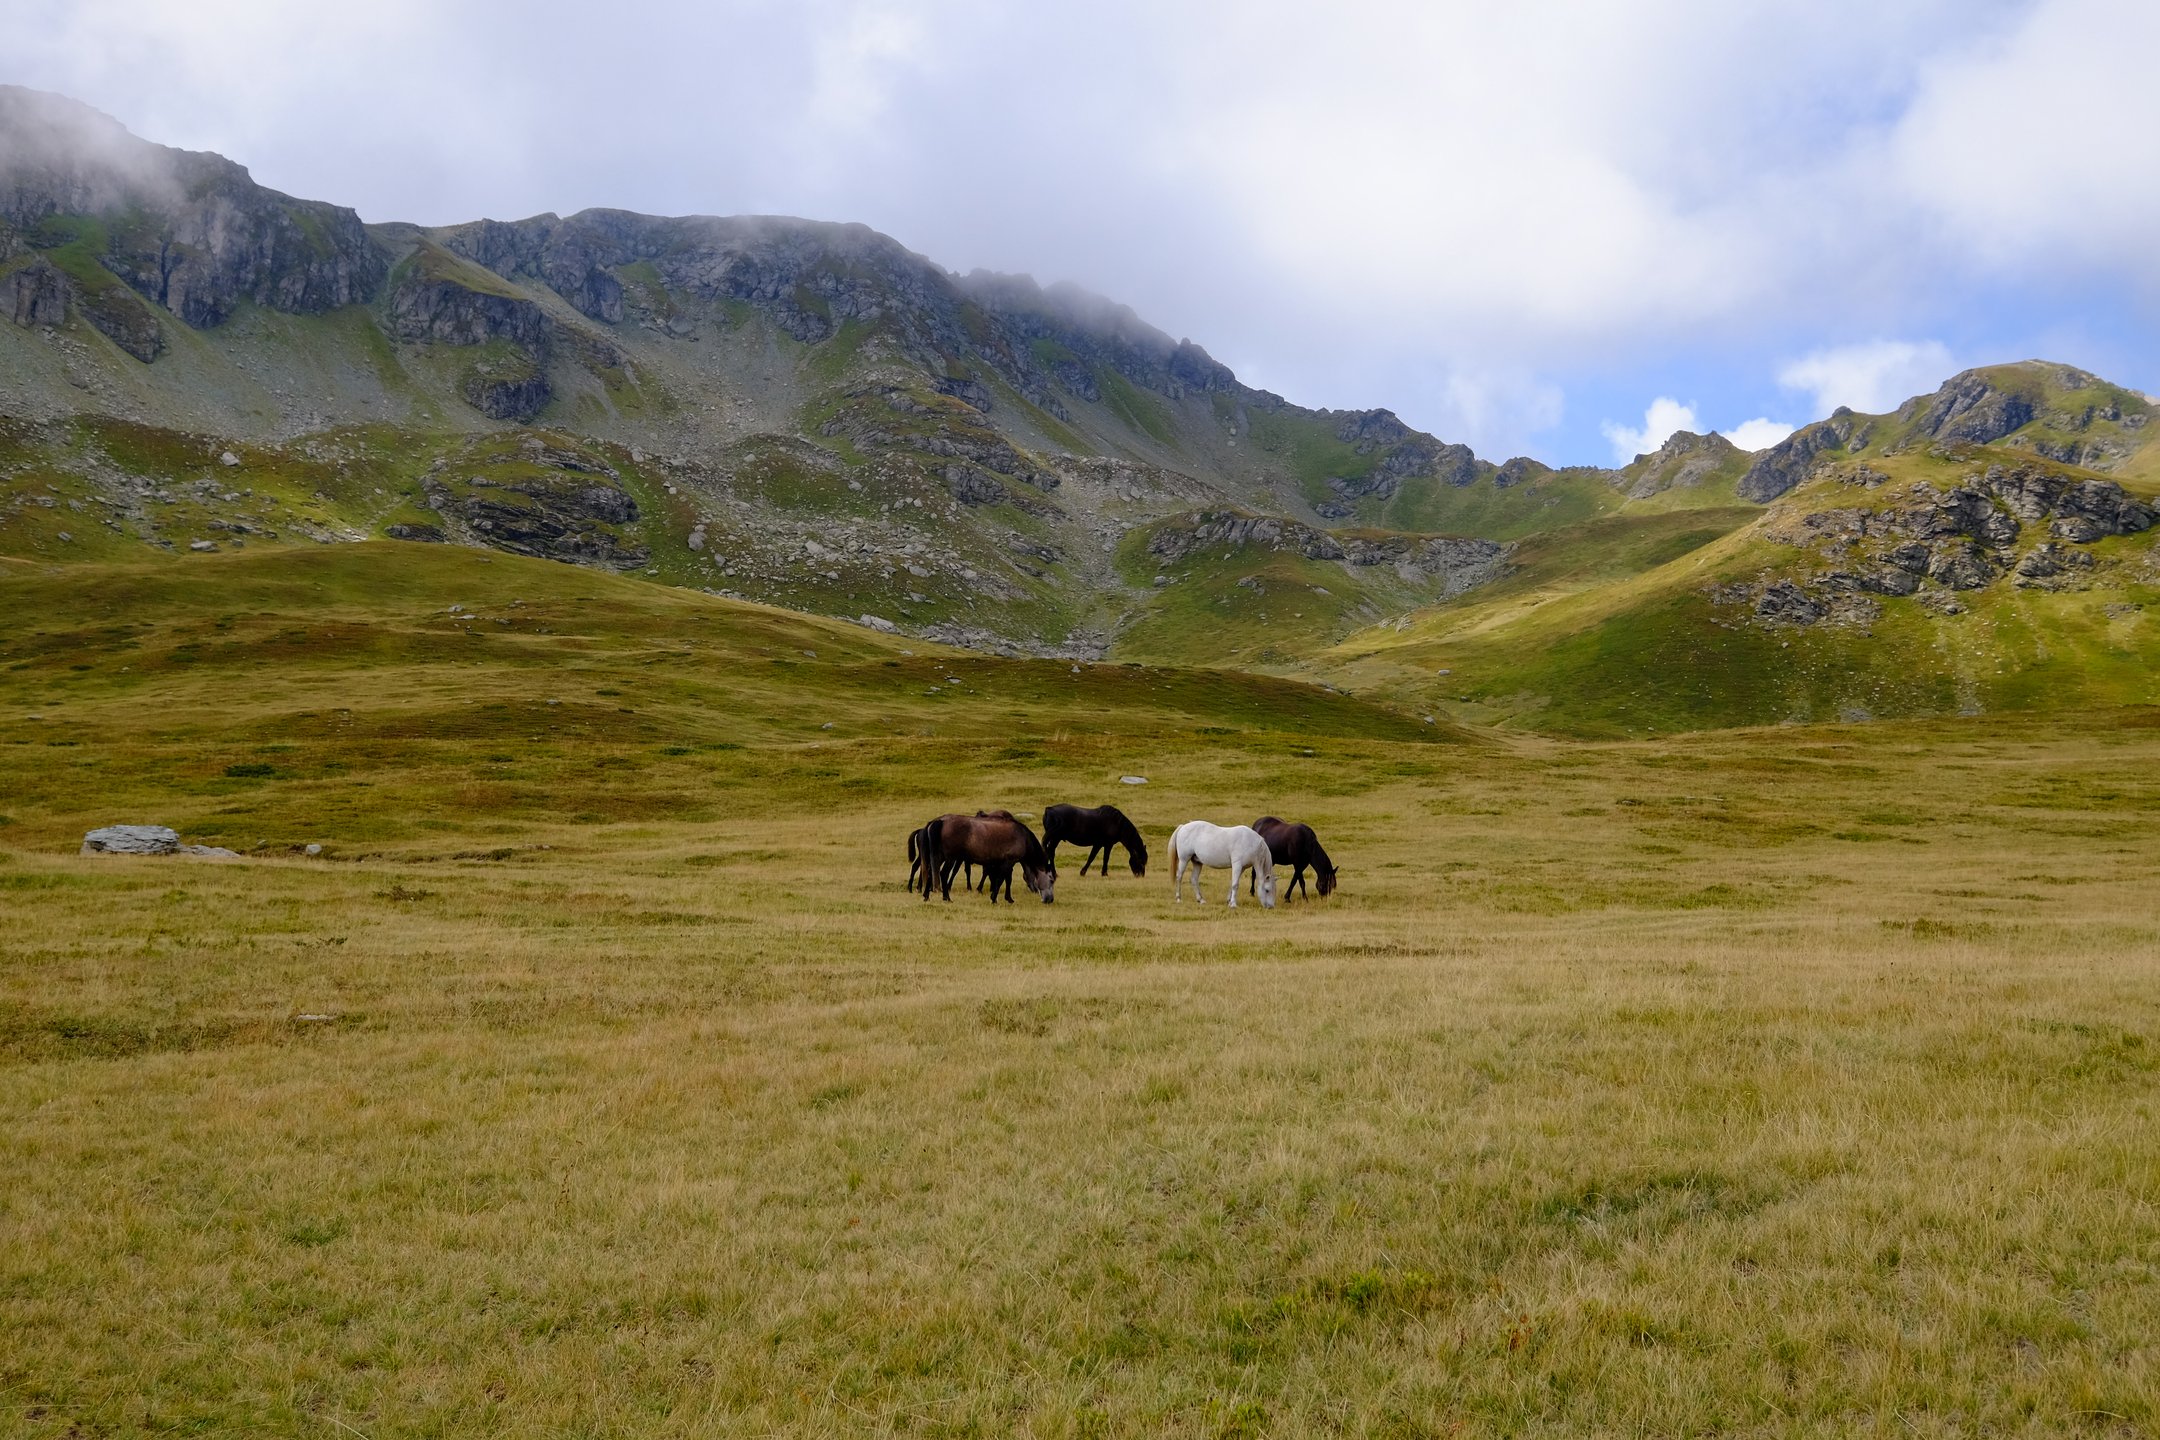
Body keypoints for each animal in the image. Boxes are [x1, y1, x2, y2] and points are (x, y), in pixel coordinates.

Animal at [911, 811, 1054, 902]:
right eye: (1051, 880)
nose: (1050, 900)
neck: (1023, 837)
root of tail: (939, 821)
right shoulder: (1009, 862)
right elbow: (1001, 880)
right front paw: (994, 898)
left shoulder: (1005, 863)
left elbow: (1006, 879)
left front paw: (1008, 898)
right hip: (950, 858)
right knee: (943, 874)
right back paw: (947, 898)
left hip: (939, 857)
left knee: (931, 873)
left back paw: (926, 896)